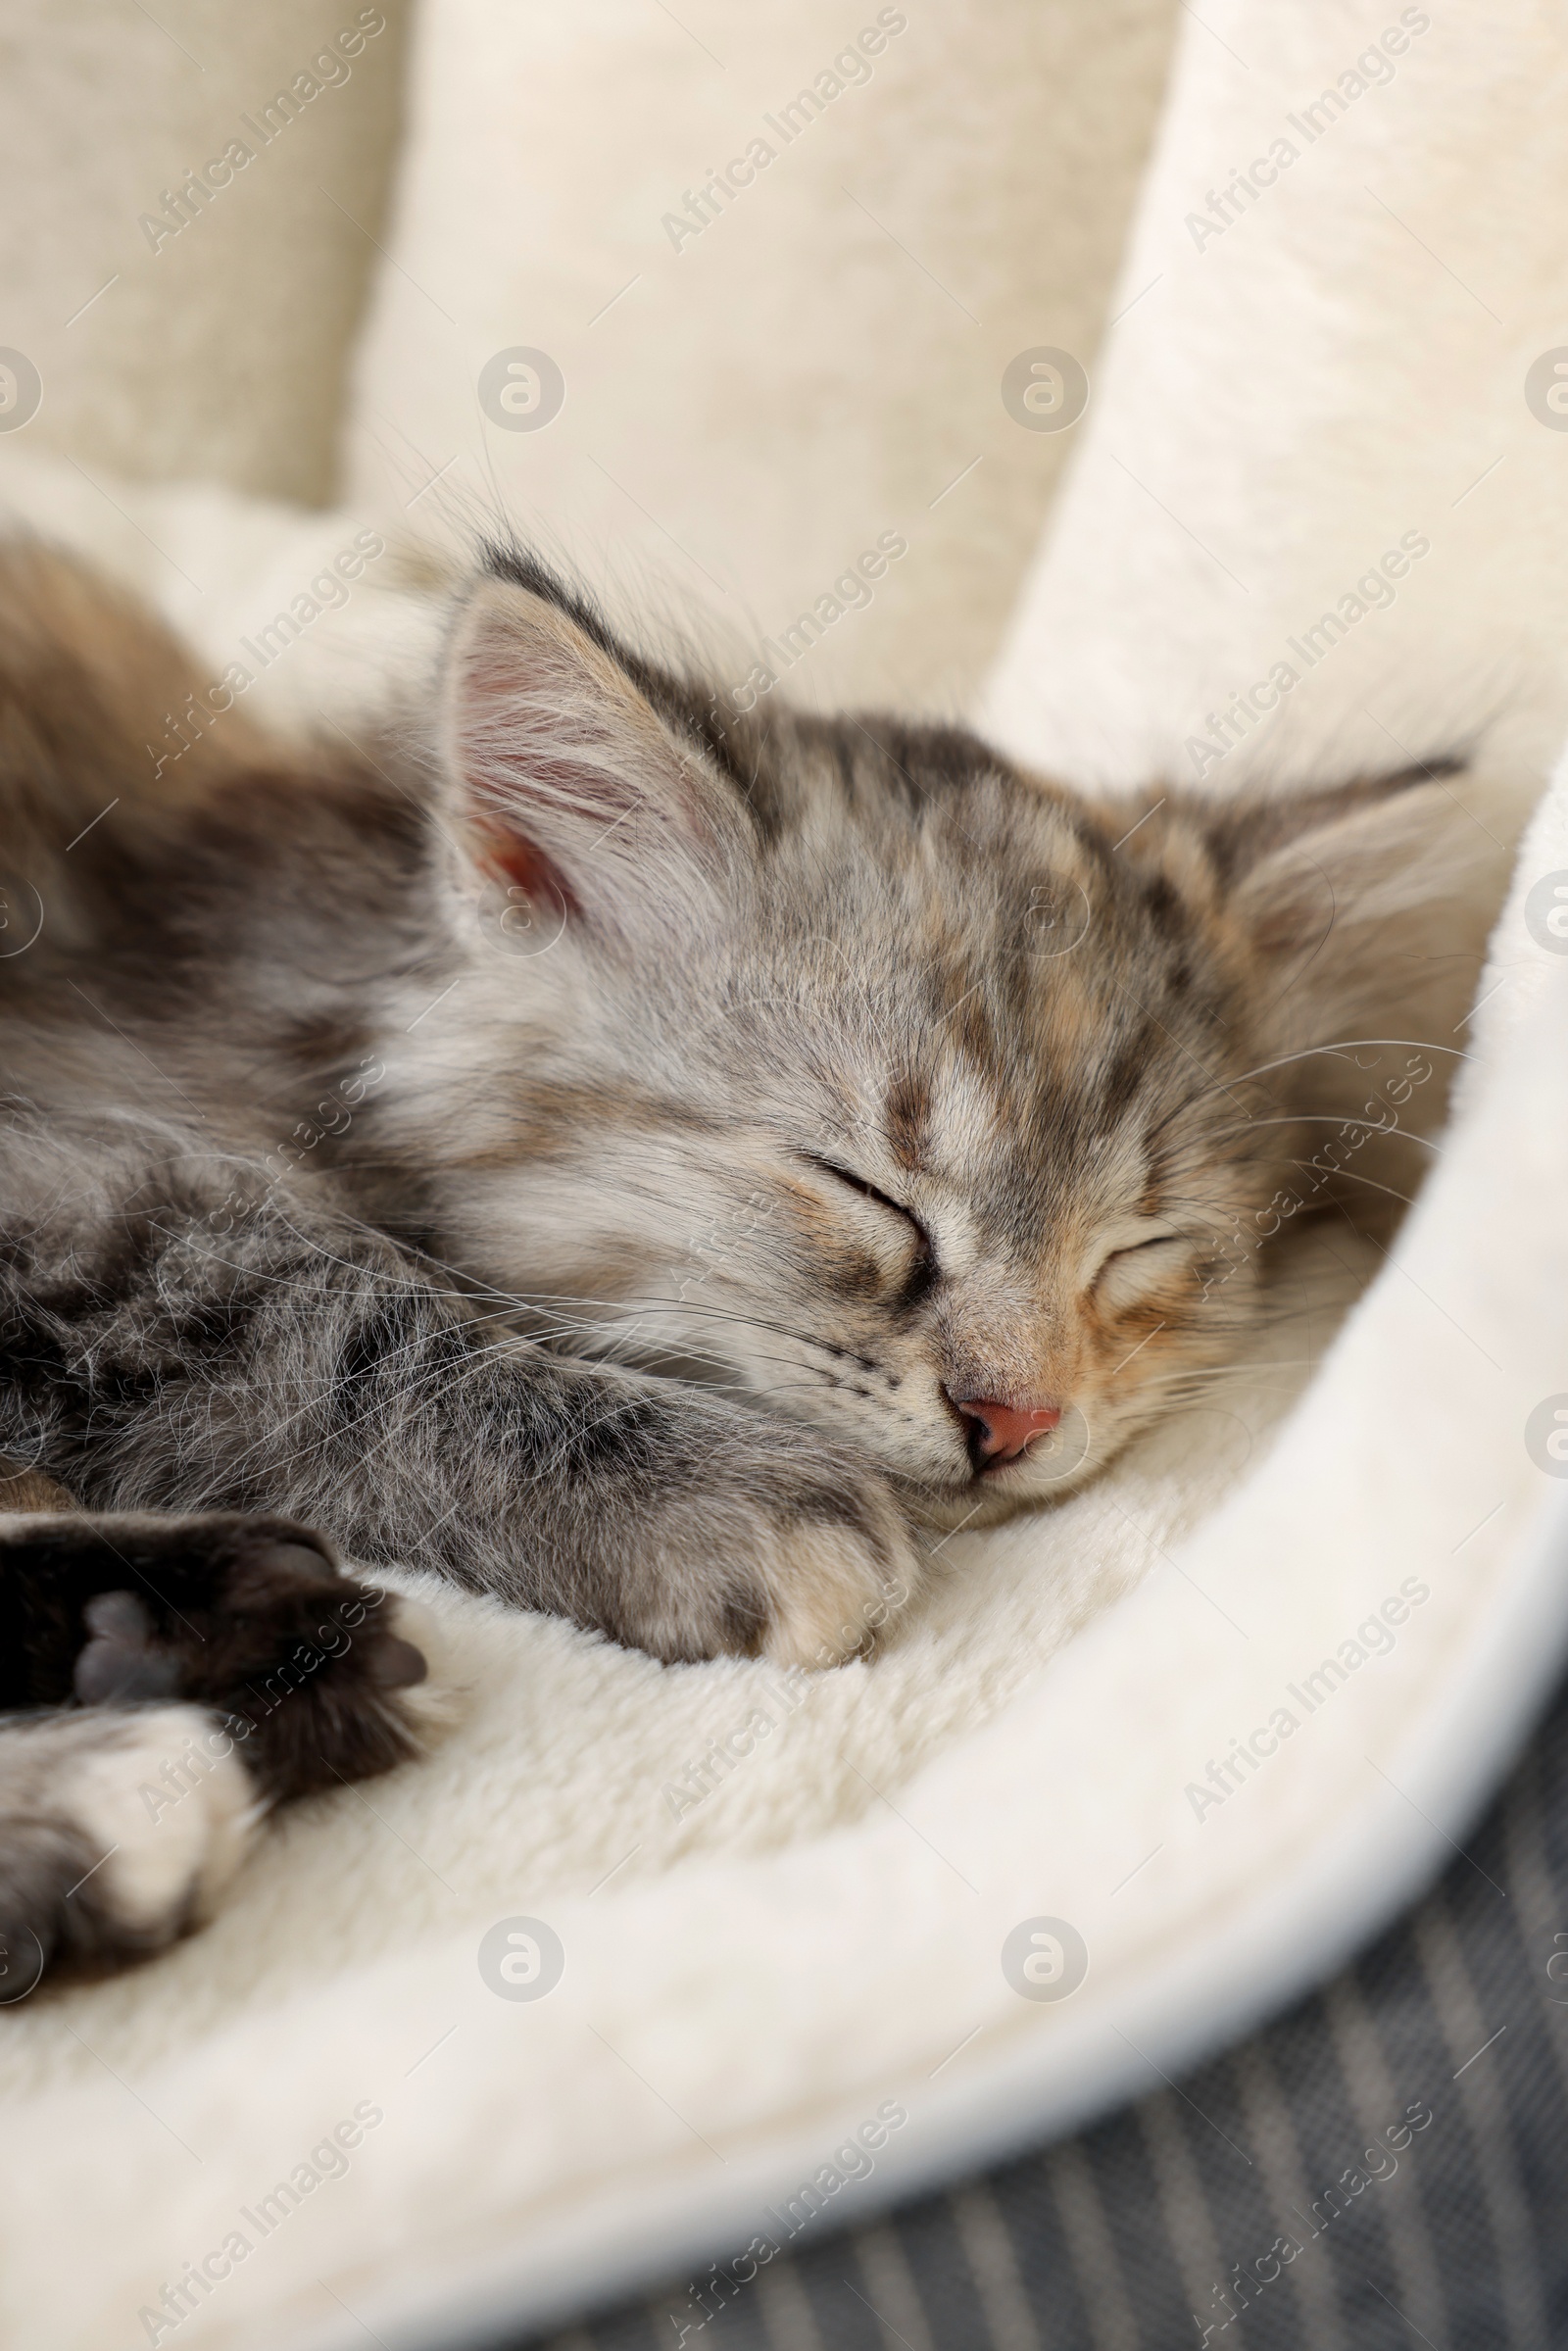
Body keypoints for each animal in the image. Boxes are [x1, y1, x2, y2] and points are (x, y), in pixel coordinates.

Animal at [0, 538, 1494, 1984]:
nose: (1014, 1417)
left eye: (1142, 1246)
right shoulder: (87, 1195)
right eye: (866, 1192)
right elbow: (328, 1315)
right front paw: (716, 1494)